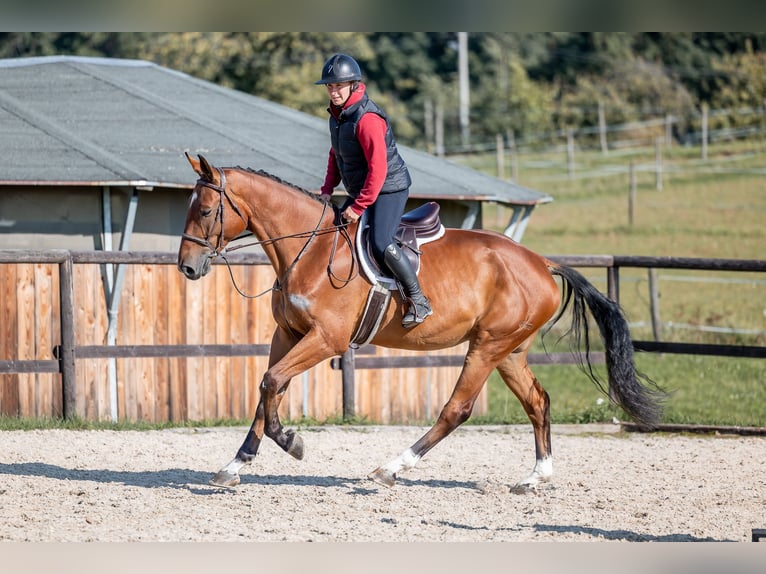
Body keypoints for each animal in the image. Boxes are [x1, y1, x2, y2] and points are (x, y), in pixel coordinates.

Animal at [177, 153, 664, 490]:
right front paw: (235, 464)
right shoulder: (289, 333)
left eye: (205, 211)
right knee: (537, 402)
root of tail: (541, 262)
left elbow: (272, 383)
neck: (309, 249)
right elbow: (268, 388)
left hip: (487, 346)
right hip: (510, 351)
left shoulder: (326, 340)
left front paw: (292, 443)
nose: (187, 267)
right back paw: (534, 478)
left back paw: (392, 468)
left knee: (457, 409)